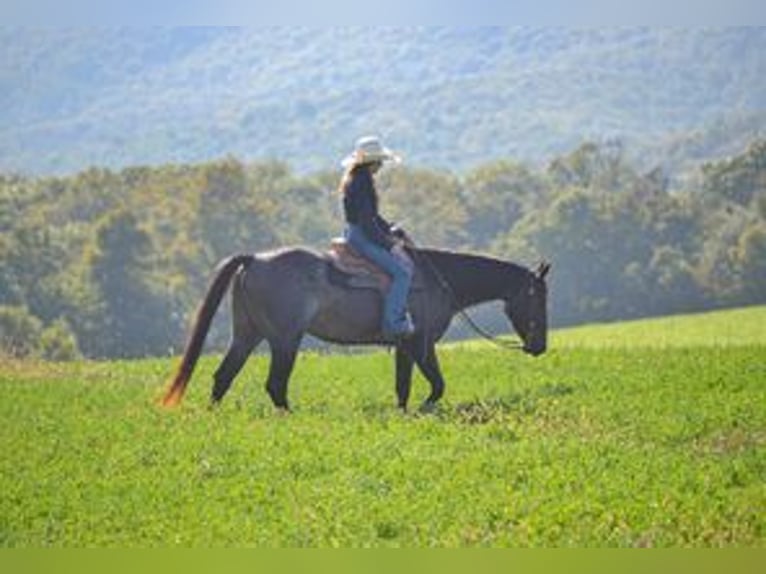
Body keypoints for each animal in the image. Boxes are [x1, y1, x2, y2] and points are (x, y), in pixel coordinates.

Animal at [160, 246, 552, 414]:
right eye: (538, 298)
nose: (540, 346)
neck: (439, 279)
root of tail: (254, 259)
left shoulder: (405, 347)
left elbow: (403, 386)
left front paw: (403, 413)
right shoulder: (421, 343)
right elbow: (437, 386)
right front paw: (423, 409)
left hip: (247, 336)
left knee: (223, 376)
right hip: (285, 341)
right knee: (275, 385)